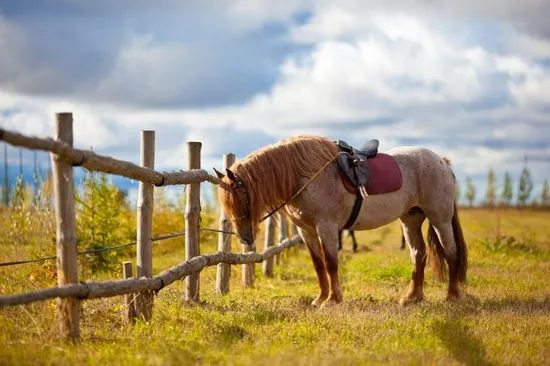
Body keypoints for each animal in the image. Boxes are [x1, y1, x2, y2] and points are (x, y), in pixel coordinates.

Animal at [218, 136, 468, 308]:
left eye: (239, 197)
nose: (244, 238)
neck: (307, 175)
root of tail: (442, 161)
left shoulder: (326, 227)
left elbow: (331, 262)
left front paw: (333, 300)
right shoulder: (307, 231)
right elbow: (318, 265)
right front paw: (320, 298)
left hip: (440, 219)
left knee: (450, 252)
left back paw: (452, 296)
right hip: (410, 219)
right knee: (419, 254)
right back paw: (412, 298)